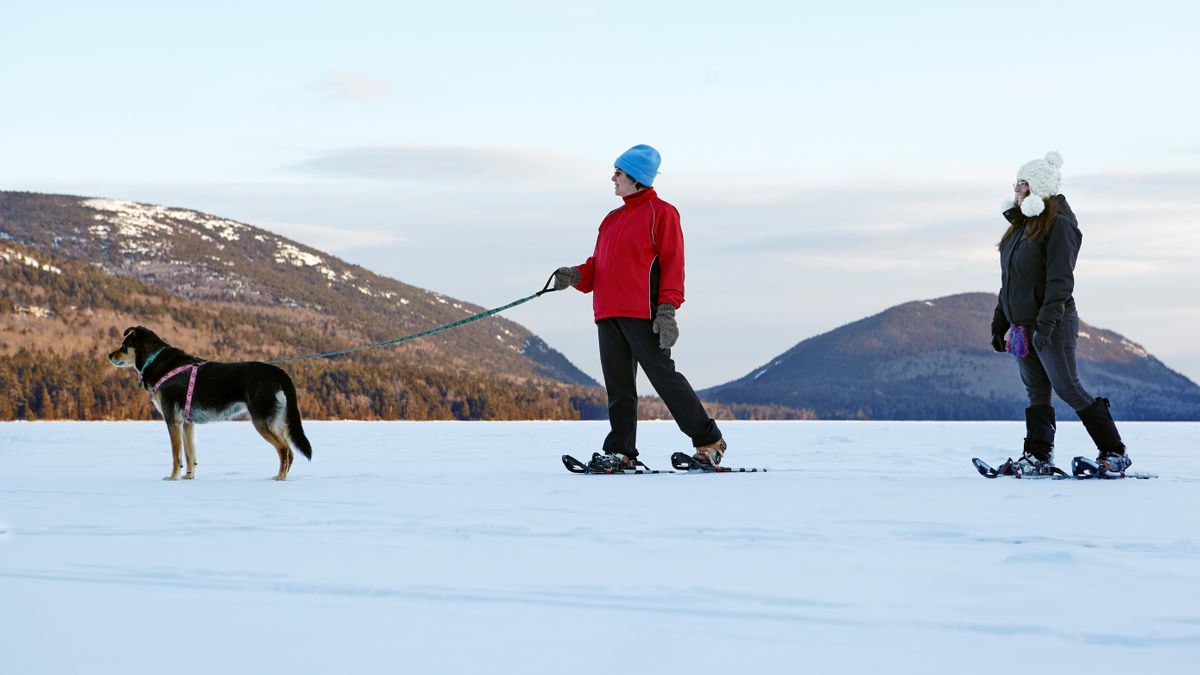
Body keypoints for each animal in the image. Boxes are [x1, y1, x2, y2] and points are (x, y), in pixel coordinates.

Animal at [108, 324, 312, 478]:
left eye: (124, 345)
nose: (109, 356)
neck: (155, 360)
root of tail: (278, 372)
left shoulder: (172, 420)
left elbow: (176, 455)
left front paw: (173, 477)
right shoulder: (187, 424)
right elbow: (190, 455)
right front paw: (188, 477)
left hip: (262, 421)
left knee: (285, 450)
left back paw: (280, 478)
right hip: (276, 420)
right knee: (289, 451)